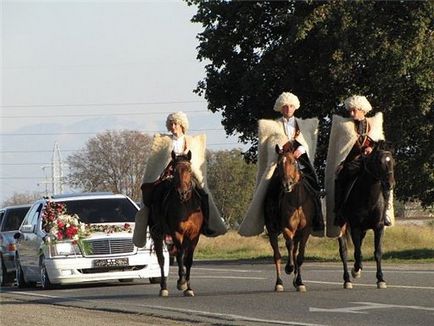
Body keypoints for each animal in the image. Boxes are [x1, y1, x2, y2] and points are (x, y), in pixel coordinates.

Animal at [149, 152, 203, 296]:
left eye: (189, 170)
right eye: (174, 171)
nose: (182, 193)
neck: (185, 206)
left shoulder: (194, 235)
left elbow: (188, 260)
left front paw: (189, 288)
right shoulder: (176, 233)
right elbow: (180, 255)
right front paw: (181, 282)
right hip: (157, 235)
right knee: (161, 260)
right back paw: (163, 287)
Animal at [264, 141, 316, 292]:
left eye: (293, 162)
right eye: (279, 164)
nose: (286, 185)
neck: (297, 202)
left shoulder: (305, 230)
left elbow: (300, 255)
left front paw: (300, 282)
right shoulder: (287, 228)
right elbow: (289, 245)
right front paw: (289, 267)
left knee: (294, 251)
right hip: (272, 230)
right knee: (277, 255)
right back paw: (279, 282)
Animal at [338, 141, 396, 290]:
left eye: (392, 161)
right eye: (379, 162)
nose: (390, 184)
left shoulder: (378, 227)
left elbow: (377, 252)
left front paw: (380, 279)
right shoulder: (355, 227)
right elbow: (357, 253)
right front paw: (356, 270)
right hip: (342, 228)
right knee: (344, 252)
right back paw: (347, 279)